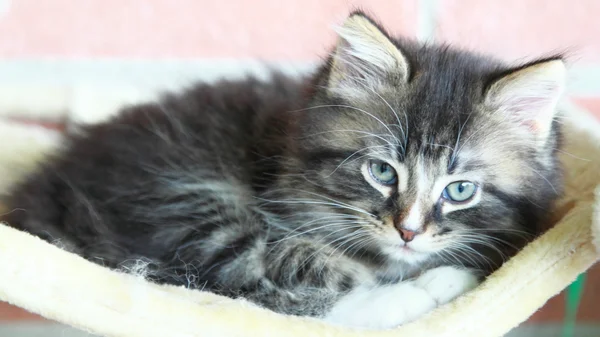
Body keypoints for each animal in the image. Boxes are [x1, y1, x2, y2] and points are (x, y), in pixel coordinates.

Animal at [1, 11, 564, 328]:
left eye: (461, 189)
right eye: (382, 172)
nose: (407, 231)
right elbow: (326, 277)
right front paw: (433, 278)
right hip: (186, 202)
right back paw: (433, 287)